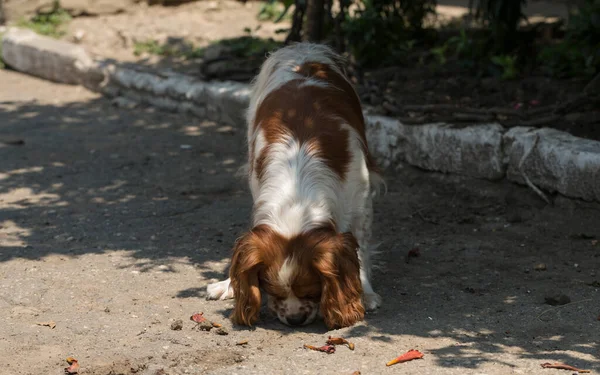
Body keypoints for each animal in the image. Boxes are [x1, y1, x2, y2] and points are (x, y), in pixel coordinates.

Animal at [206, 41, 384, 328]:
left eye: (312, 290)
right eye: (270, 289)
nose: (295, 319)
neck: (297, 196)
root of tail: (304, 49)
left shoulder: (361, 199)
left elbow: (361, 249)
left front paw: (365, 293)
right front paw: (230, 286)